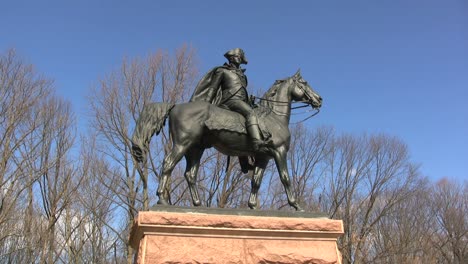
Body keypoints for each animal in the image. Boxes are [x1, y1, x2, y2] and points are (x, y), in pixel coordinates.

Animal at [131, 69, 322, 210]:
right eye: (304, 83)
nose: (319, 99)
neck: (274, 117)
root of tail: (176, 106)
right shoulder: (279, 152)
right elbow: (285, 178)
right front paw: (296, 205)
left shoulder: (263, 157)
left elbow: (256, 181)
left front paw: (252, 206)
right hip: (182, 144)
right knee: (168, 164)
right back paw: (162, 200)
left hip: (195, 149)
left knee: (190, 174)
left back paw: (198, 204)